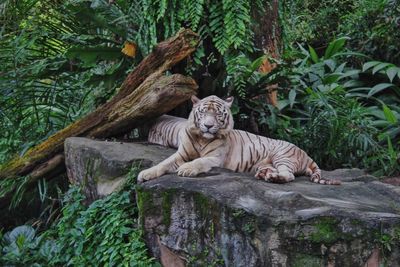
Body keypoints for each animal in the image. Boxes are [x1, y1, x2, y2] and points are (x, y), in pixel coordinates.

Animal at [138, 95, 340, 185]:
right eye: (203, 112)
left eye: (218, 114)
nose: (208, 126)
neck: (202, 138)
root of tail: (307, 154)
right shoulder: (181, 153)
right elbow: (164, 163)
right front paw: (145, 174)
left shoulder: (215, 158)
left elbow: (199, 161)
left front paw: (186, 169)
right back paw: (265, 174)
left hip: (282, 155)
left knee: (289, 175)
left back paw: (274, 178)